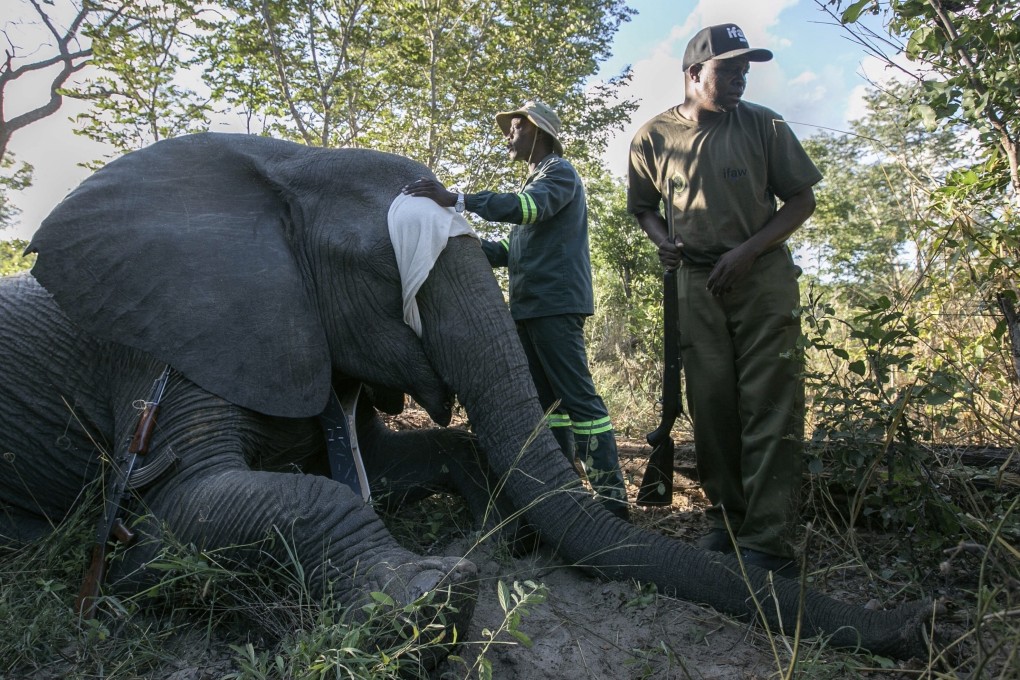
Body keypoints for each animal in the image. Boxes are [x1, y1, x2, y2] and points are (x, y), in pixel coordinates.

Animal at [0, 132, 933, 664]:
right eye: (389, 275)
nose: (922, 623)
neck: (278, 178)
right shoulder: (167, 343)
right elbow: (181, 511)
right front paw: (432, 605)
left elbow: (387, 462)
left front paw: (501, 535)